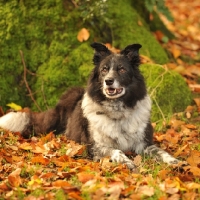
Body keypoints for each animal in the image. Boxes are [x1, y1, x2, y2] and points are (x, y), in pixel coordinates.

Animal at [0, 43, 179, 170]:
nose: (108, 81)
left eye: (122, 69)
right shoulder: (94, 146)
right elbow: (117, 151)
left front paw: (174, 161)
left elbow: (160, 151)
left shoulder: (143, 143)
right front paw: (127, 163)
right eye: (104, 69)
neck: (117, 113)